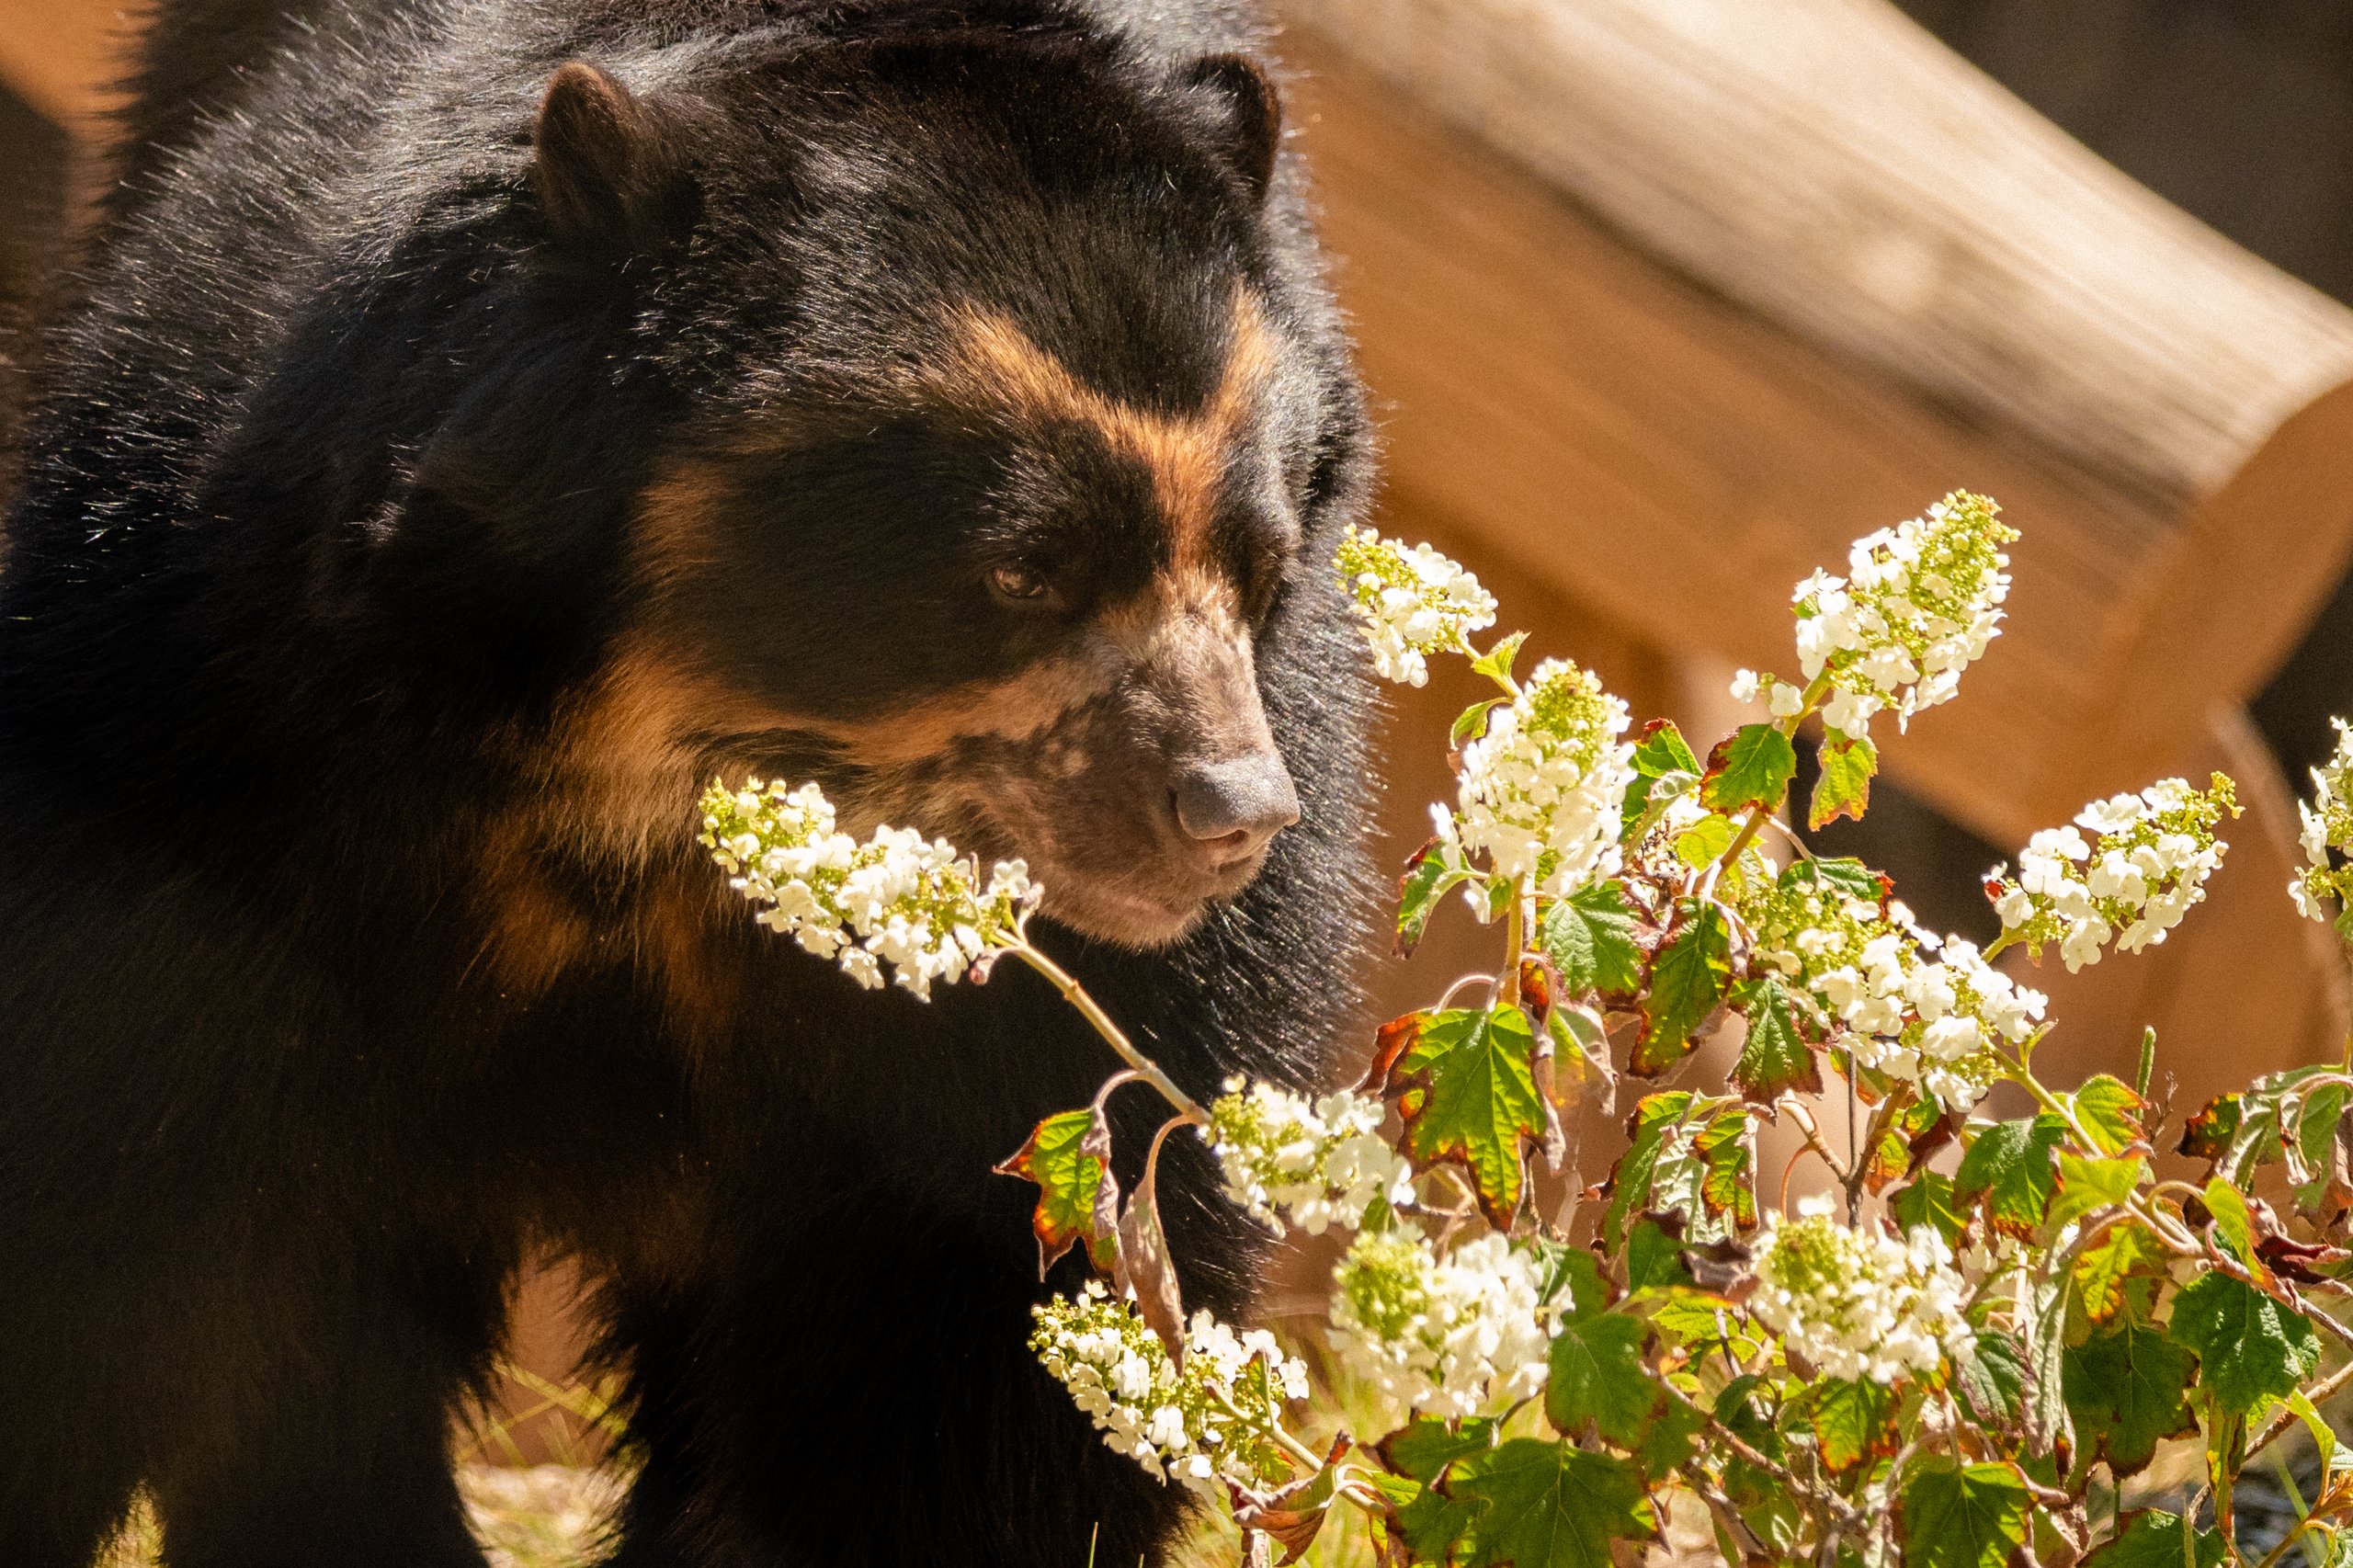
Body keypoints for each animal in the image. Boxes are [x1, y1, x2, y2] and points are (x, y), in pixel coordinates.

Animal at [0, 1, 1374, 1564]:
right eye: (1025, 568)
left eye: (1259, 566)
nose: (1230, 816)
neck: (660, 790)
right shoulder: (218, 721)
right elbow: (113, 1174)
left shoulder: (1061, 1017)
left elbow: (978, 1344)